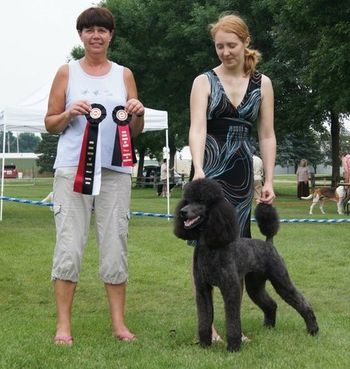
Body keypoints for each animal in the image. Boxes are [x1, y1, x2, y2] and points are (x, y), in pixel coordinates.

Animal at [174, 178, 318, 350]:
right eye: (187, 201)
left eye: (201, 201)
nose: (183, 212)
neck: (210, 247)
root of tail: (268, 243)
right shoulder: (203, 289)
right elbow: (205, 317)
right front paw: (205, 344)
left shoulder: (230, 288)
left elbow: (232, 319)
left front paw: (233, 346)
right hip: (255, 284)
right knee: (271, 304)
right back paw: (269, 327)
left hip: (280, 278)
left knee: (301, 302)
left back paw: (313, 329)